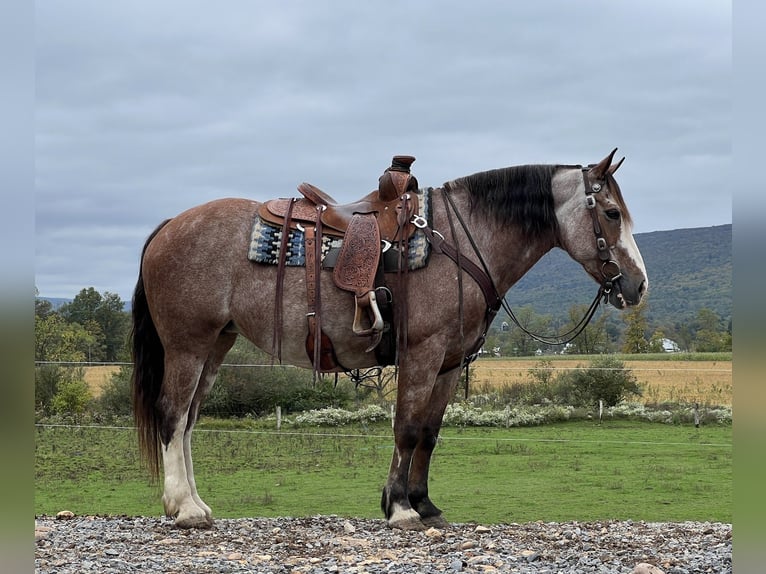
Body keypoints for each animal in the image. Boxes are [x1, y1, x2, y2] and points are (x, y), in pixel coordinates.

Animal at [130, 148, 648, 532]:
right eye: (611, 212)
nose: (638, 285)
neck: (463, 240)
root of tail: (169, 226)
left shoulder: (449, 363)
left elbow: (430, 434)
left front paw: (425, 504)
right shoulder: (423, 353)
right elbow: (407, 429)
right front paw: (399, 508)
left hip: (217, 344)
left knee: (190, 419)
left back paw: (194, 503)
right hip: (188, 345)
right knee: (173, 413)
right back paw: (185, 509)